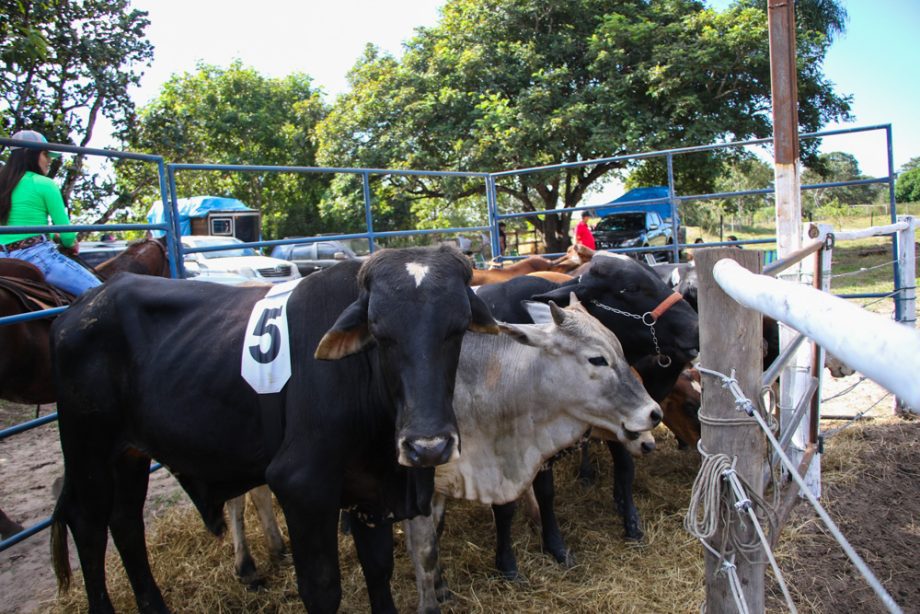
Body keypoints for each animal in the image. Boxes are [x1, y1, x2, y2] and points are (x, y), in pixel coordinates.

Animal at [49, 247, 496, 614]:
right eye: (379, 332)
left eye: (457, 328)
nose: (428, 447)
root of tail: (82, 306)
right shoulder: (302, 486)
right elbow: (322, 589)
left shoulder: (370, 491)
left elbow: (379, 569)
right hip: (87, 448)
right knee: (88, 526)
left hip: (129, 455)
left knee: (126, 523)